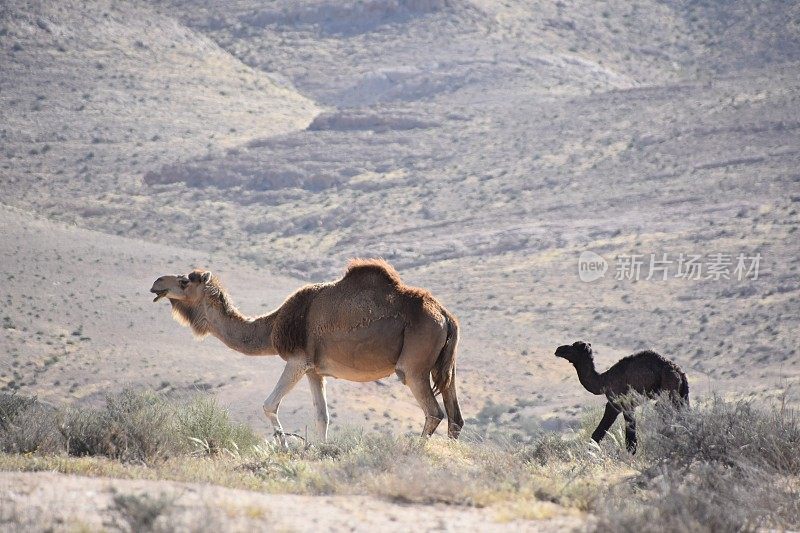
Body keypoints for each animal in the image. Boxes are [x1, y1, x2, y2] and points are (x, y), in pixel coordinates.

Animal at [150, 260, 462, 442]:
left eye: (184, 281)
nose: (156, 284)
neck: (273, 326)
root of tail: (445, 316)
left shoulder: (297, 361)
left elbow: (269, 404)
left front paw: (285, 447)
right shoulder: (316, 370)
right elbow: (322, 416)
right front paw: (321, 451)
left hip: (414, 367)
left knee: (434, 412)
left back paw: (412, 454)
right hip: (444, 366)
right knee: (454, 416)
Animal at [556, 340, 688, 454]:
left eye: (574, 347)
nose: (558, 349)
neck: (603, 381)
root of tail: (679, 372)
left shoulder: (618, 404)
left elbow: (604, 434)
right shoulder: (627, 406)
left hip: (668, 390)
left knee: (663, 410)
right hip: (682, 395)